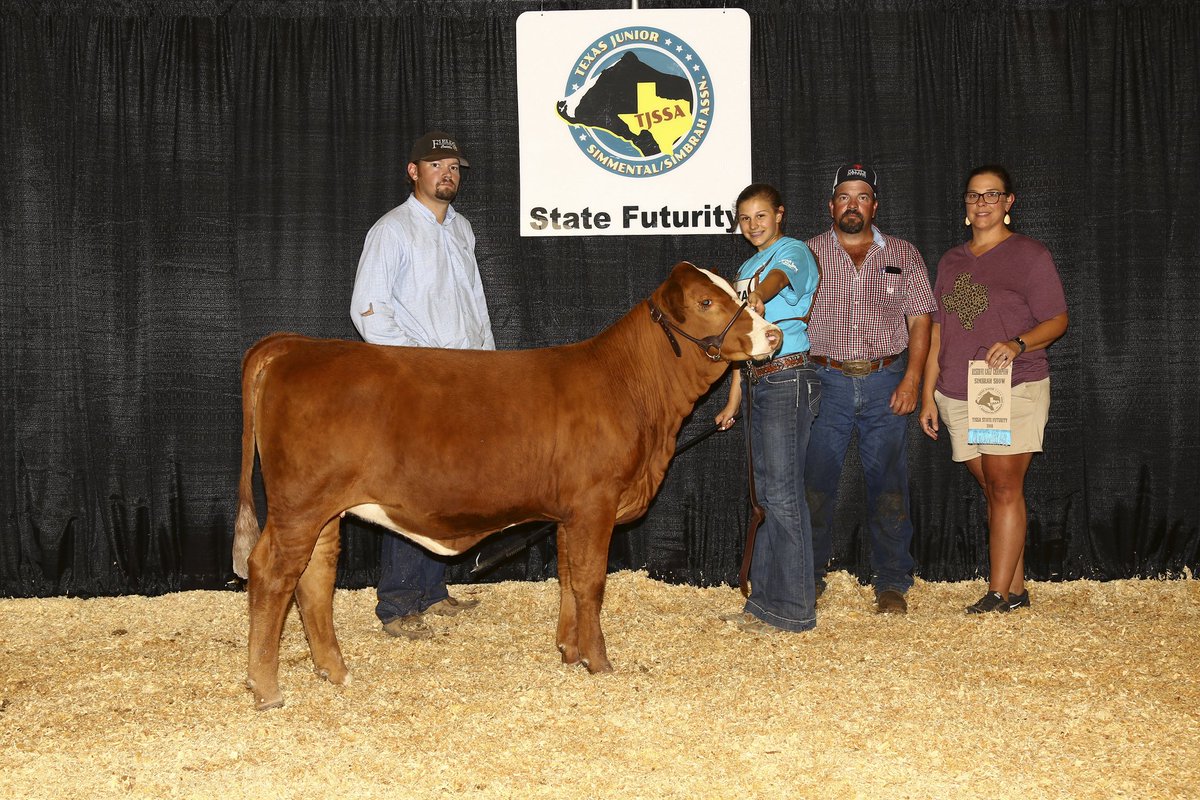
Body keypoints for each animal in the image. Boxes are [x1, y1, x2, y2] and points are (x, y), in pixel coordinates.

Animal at [232, 262, 781, 710]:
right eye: (706, 302)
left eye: (736, 291)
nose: (774, 335)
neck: (630, 390)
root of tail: (295, 345)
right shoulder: (596, 502)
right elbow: (591, 582)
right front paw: (600, 662)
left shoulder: (569, 512)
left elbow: (568, 577)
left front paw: (568, 650)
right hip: (299, 505)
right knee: (271, 573)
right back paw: (267, 687)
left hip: (323, 511)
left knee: (315, 578)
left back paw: (336, 671)